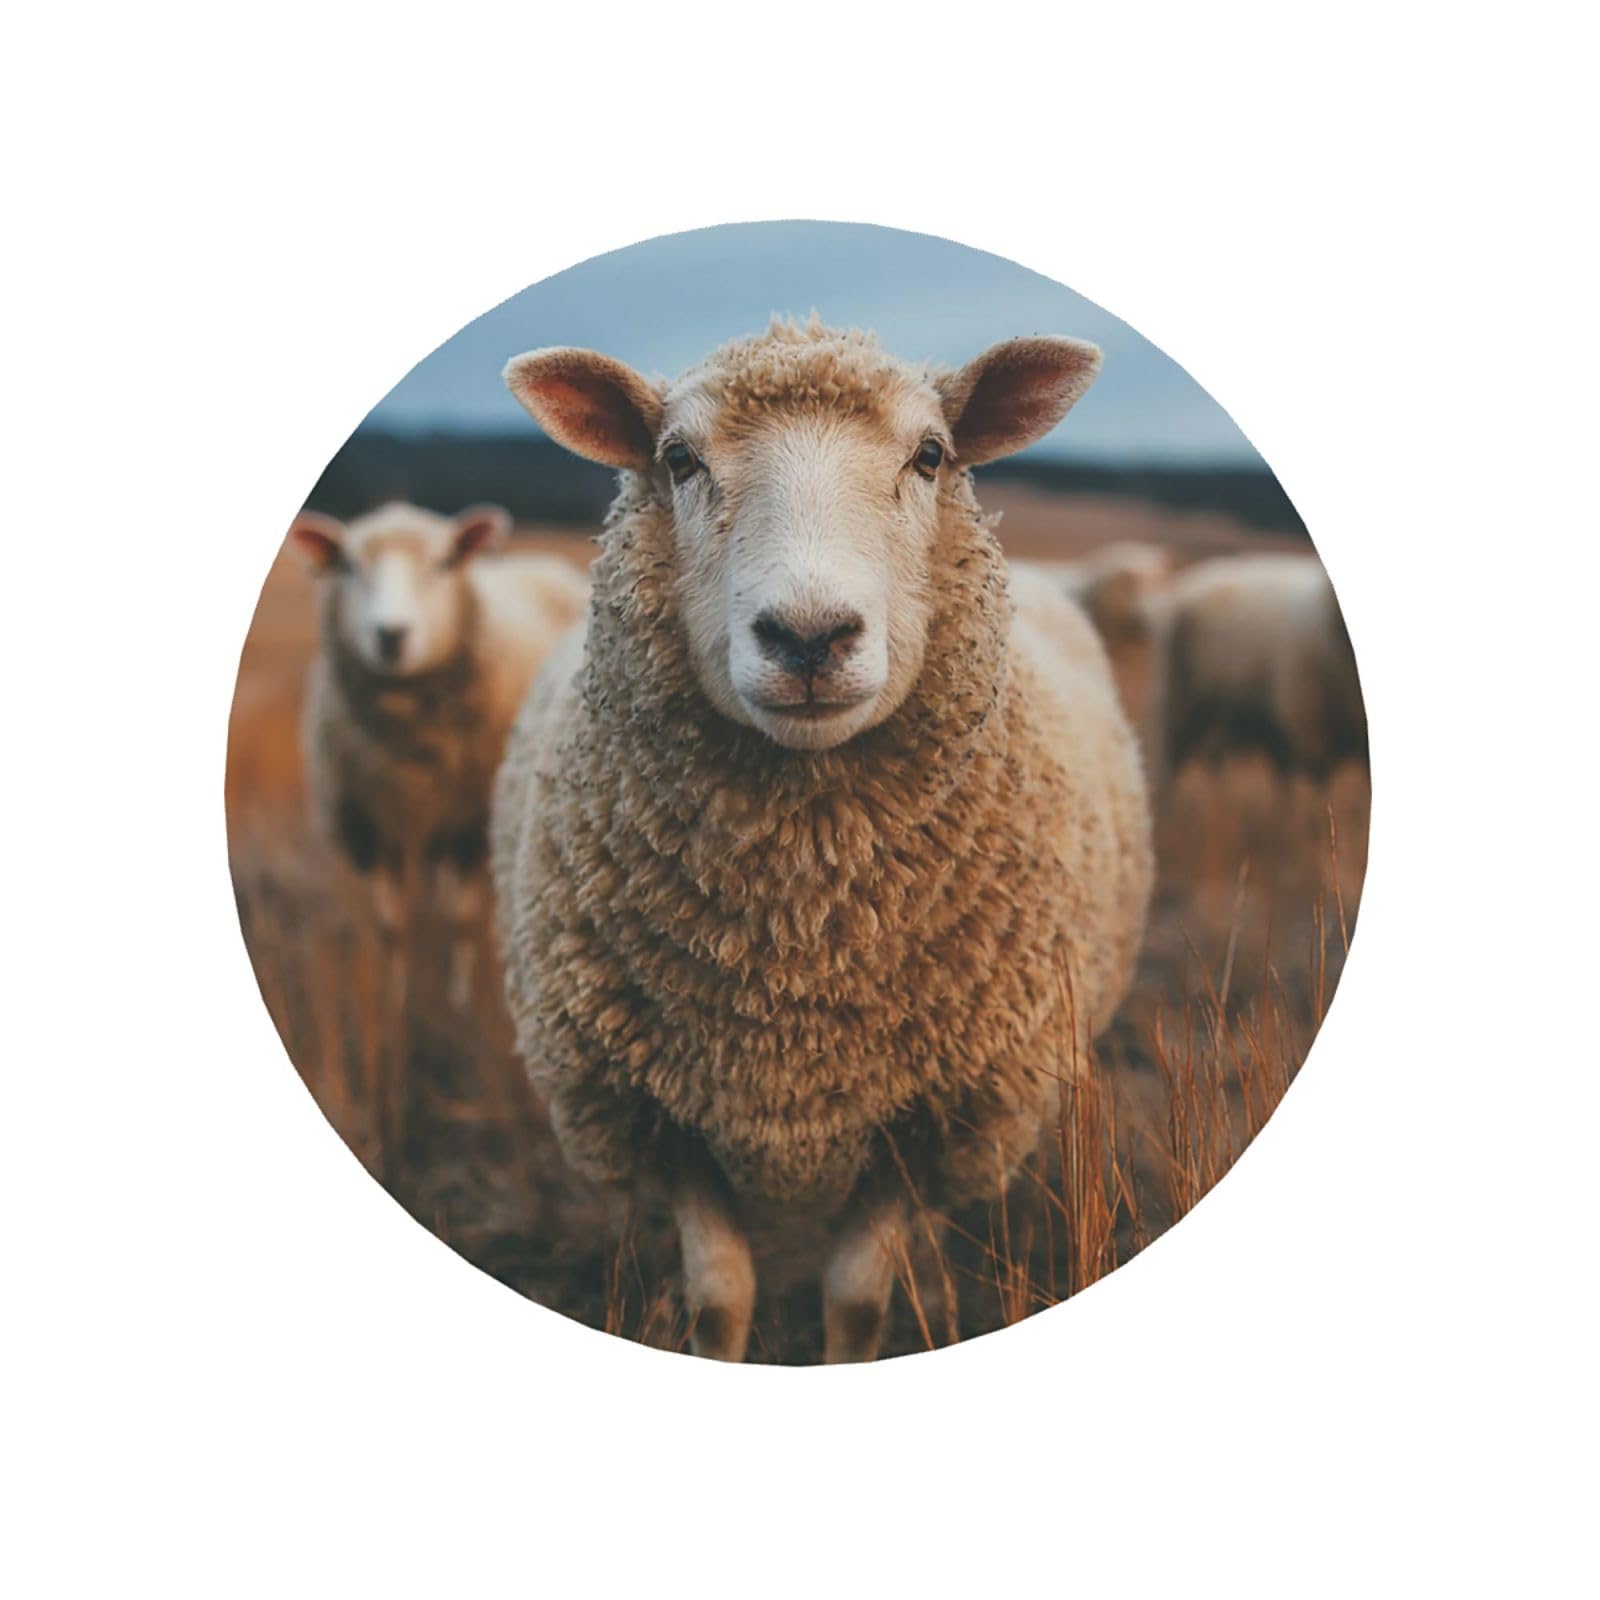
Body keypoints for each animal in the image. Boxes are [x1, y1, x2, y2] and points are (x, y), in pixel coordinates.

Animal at [290, 501, 589, 1007]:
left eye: (443, 563)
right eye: (349, 566)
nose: (391, 635)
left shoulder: (468, 824)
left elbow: (460, 923)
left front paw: (458, 999)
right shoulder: (373, 830)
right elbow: (392, 928)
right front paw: (395, 1002)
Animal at [493, 319, 1153, 1363]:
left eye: (931, 456)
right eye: (677, 459)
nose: (809, 637)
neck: (803, 942)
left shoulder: (927, 1114)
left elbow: (854, 1298)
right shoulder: (658, 1111)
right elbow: (720, 1298)